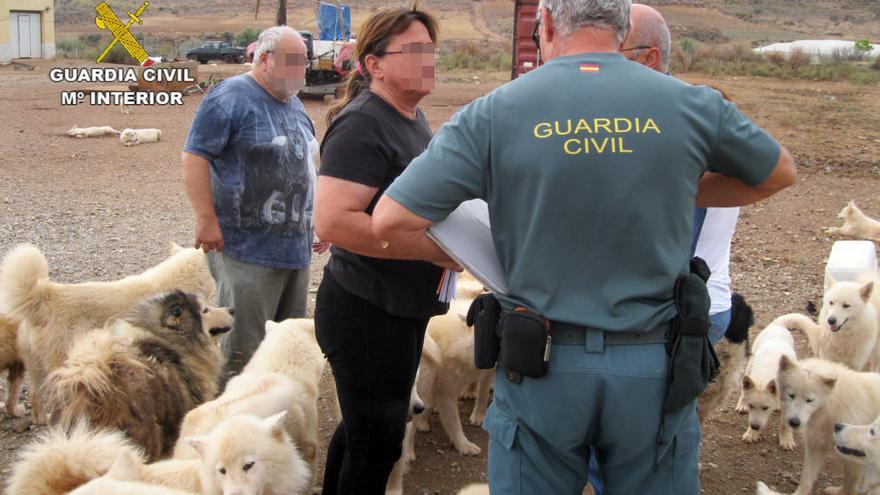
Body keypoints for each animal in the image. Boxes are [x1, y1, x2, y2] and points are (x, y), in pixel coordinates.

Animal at [732, 318, 800, 450]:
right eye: (751, 405)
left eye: (765, 408)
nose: (754, 427)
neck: (766, 377)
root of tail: (777, 325)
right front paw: (751, 433)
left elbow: (785, 424)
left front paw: (786, 439)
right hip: (750, 364)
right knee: (744, 389)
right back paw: (741, 404)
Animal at [752, 356, 880, 495]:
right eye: (791, 395)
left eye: (810, 400)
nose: (794, 422)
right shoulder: (815, 447)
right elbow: (806, 480)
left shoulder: (853, 462)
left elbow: (849, 486)